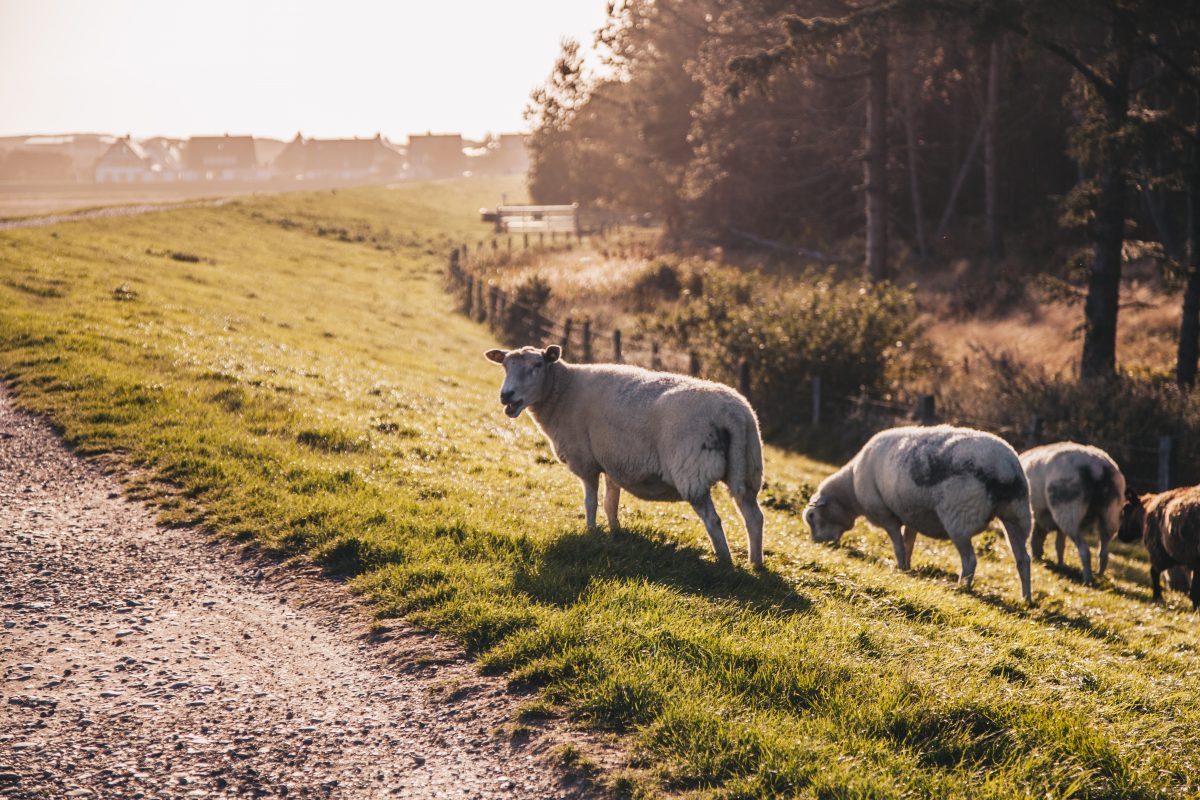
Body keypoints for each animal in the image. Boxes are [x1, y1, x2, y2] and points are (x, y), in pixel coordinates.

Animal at [482, 345, 763, 568]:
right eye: (505, 365)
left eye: (538, 365)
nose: (506, 396)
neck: (562, 391)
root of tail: (734, 414)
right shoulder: (613, 461)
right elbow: (610, 502)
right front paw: (615, 533)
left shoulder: (586, 461)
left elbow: (591, 502)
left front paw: (591, 532)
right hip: (746, 468)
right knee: (753, 516)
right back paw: (755, 564)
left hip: (692, 470)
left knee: (713, 520)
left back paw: (725, 563)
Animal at [801, 424, 1036, 599]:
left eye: (812, 517)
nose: (817, 543)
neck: (851, 491)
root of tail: (1005, 468)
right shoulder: (910, 515)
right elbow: (909, 543)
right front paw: (907, 567)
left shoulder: (886, 515)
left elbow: (897, 545)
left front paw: (899, 567)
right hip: (1018, 515)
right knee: (1023, 560)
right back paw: (1026, 599)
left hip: (960, 517)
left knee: (970, 560)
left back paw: (962, 588)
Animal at [1022, 441, 1123, 585]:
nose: (1038, 559)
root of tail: (1097, 468)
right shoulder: (1054, 525)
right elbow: (1059, 545)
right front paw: (1060, 564)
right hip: (1110, 515)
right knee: (1104, 552)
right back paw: (1099, 575)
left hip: (1068, 511)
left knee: (1085, 550)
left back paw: (1087, 580)